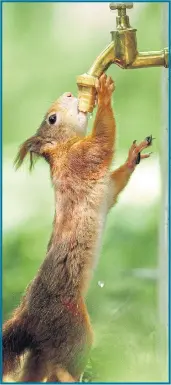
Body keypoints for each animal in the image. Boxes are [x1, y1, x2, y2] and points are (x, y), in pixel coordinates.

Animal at [2, 75, 152, 380]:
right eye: (52, 118)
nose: (70, 93)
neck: (63, 149)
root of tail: (28, 319)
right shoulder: (83, 158)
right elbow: (103, 140)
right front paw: (104, 93)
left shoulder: (107, 190)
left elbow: (116, 181)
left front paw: (133, 155)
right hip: (72, 328)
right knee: (63, 365)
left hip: (44, 349)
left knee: (39, 371)